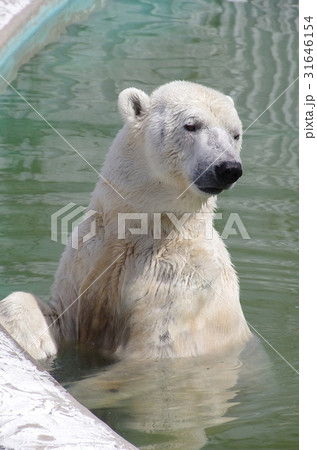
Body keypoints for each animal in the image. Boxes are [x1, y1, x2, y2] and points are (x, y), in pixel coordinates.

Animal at [0, 81, 252, 358]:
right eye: (192, 125)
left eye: (235, 134)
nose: (228, 167)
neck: (141, 229)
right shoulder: (89, 256)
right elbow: (57, 314)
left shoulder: (177, 278)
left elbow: (155, 346)